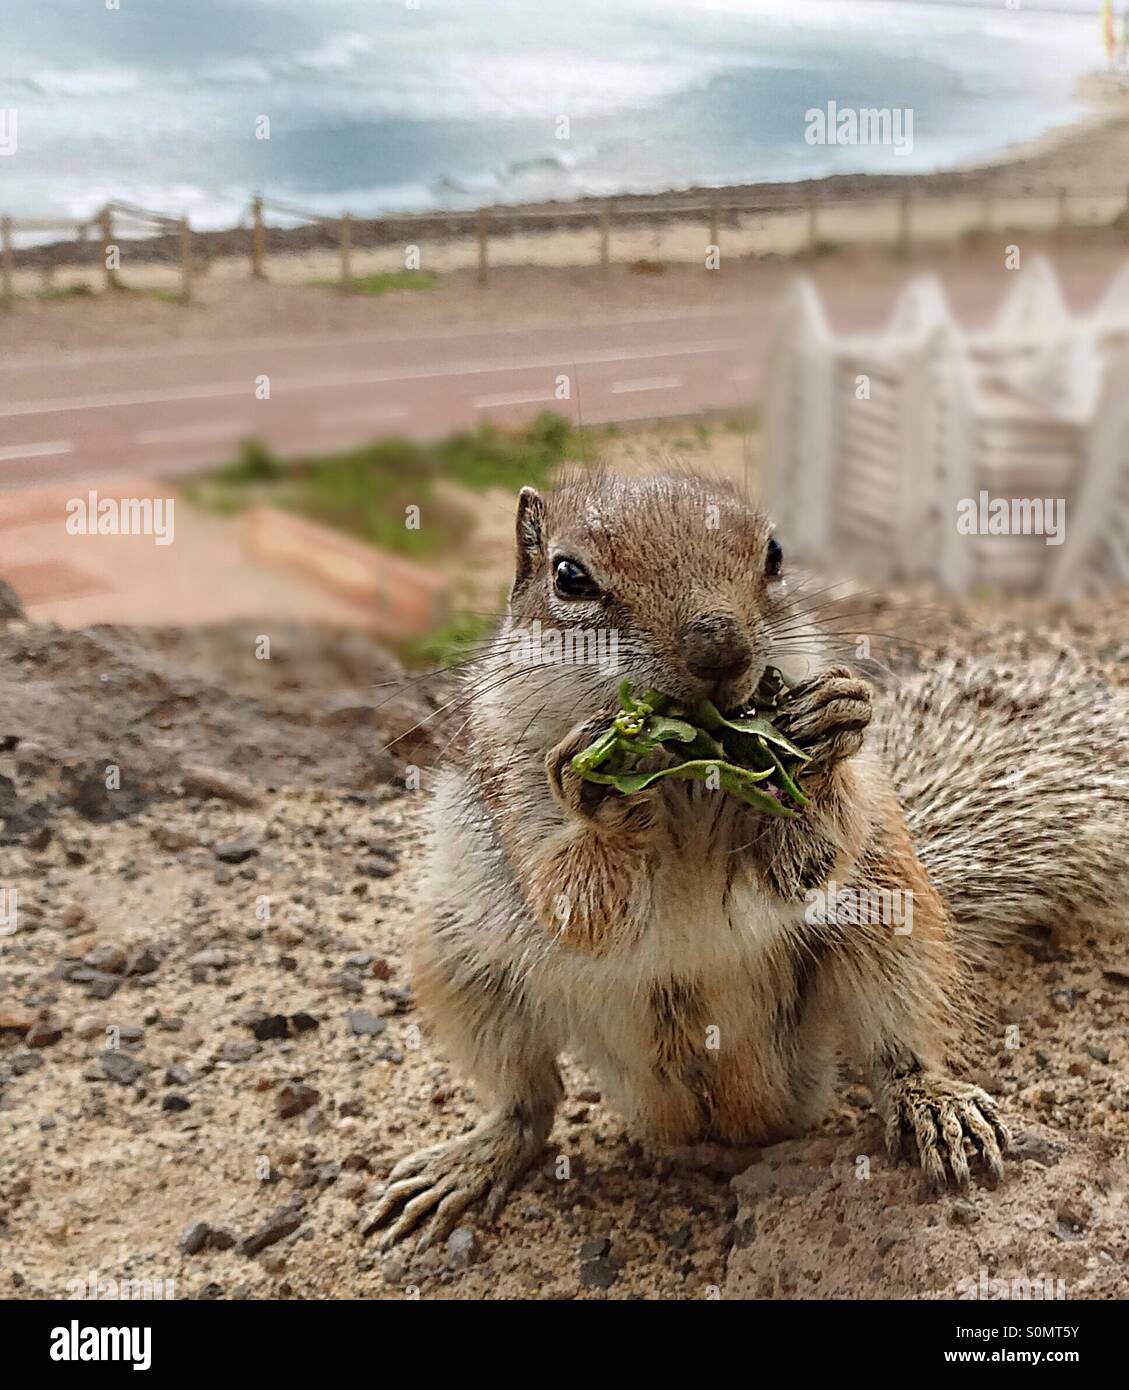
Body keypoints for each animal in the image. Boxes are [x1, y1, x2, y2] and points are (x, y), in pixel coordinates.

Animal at [361, 472, 1129, 1256]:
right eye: (568, 576)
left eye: (775, 553)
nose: (720, 649)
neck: (690, 778)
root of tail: (710, 1115)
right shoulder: (511, 789)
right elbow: (573, 905)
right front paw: (606, 787)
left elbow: (802, 866)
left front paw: (824, 735)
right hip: (461, 968)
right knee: (528, 1103)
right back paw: (472, 1157)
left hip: (890, 924)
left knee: (897, 1050)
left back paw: (932, 1103)